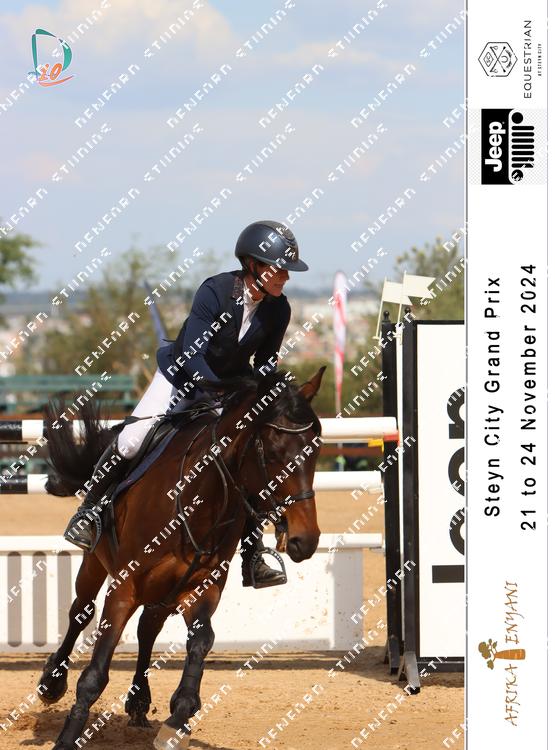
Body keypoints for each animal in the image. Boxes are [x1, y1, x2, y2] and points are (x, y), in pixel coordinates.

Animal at [38, 366, 325, 750]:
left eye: (316, 450)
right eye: (275, 453)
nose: (305, 541)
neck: (197, 498)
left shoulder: (201, 587)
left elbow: (201, 642)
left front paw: (180, 716)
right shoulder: (125, 586)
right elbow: (96, 672)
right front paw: (69, 735)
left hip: (164, 591)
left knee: (147, 628)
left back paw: (139, 702)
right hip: (96, 565)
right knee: (80, 612)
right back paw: (51, 682)